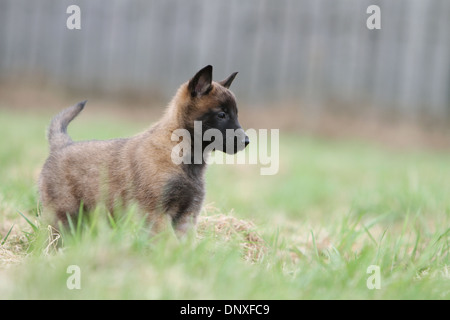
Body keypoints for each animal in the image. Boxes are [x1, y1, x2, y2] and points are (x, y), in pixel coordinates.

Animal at [37, 65, 250, 236]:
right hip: (63, 214)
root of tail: (63, 144)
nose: (247, 141)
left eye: (236, 114)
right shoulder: (157, 213)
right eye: (222, 114)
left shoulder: (187, 216)